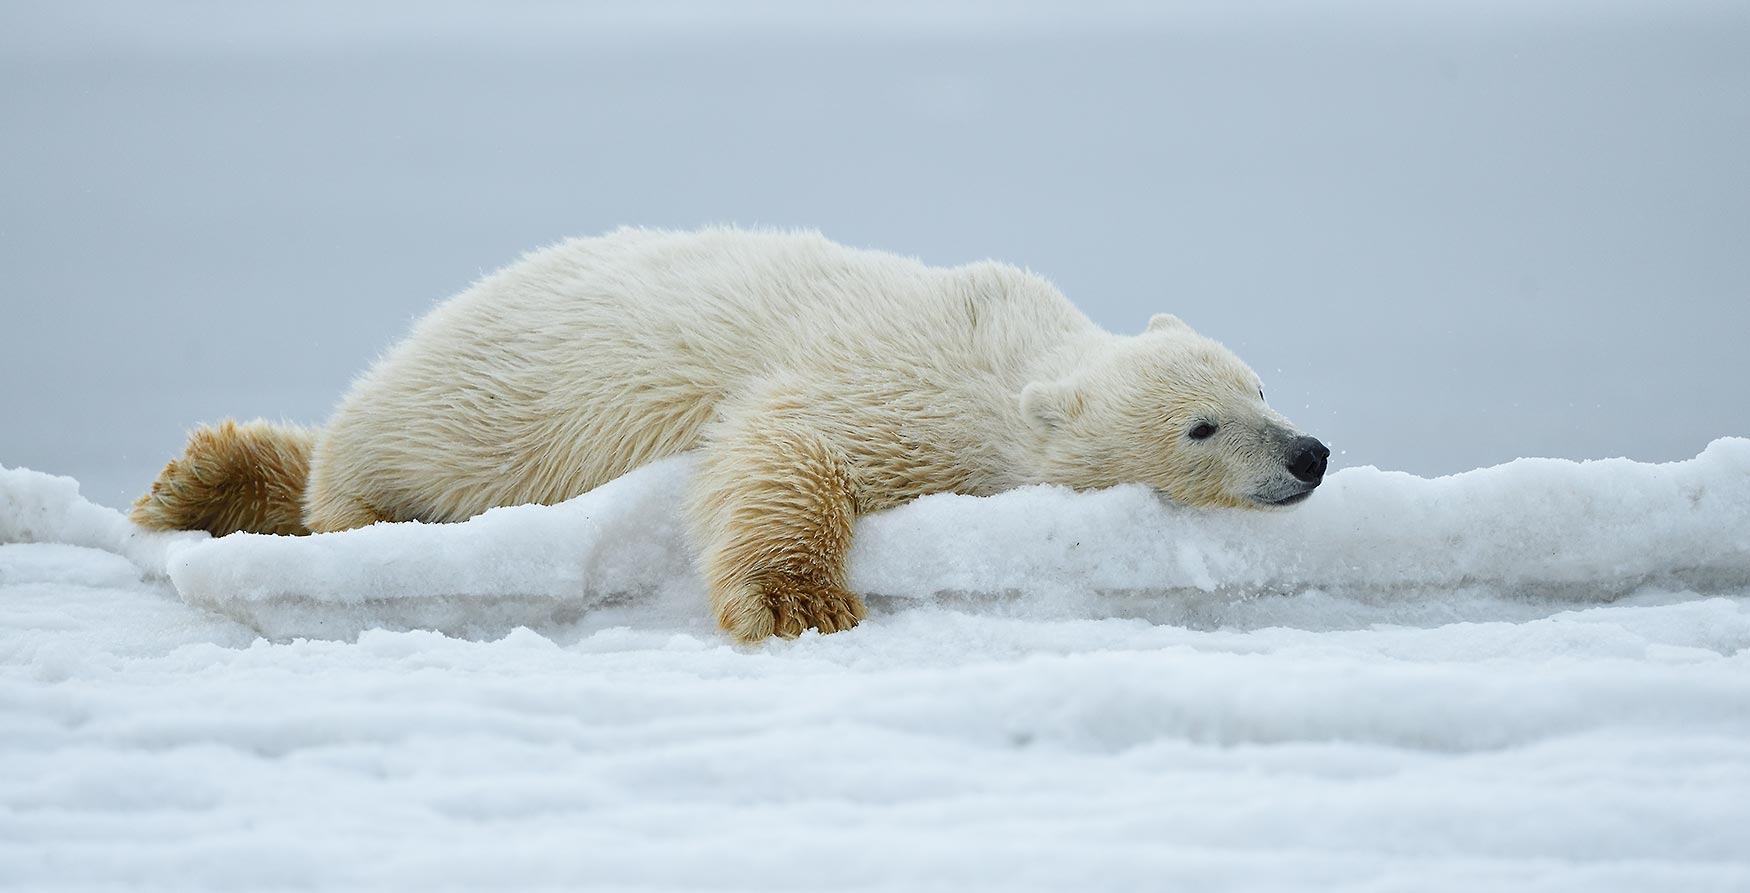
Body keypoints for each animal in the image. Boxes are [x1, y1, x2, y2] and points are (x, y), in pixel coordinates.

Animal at [133, 225, 1323, 637]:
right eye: (1202, 426)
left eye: (1262, 384)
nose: (1308, 454)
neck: (1010, 348)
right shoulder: (896, 385)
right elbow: (778, 446)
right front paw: (800, 601)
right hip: (461, 413)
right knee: (363, 474)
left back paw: (198, 475)